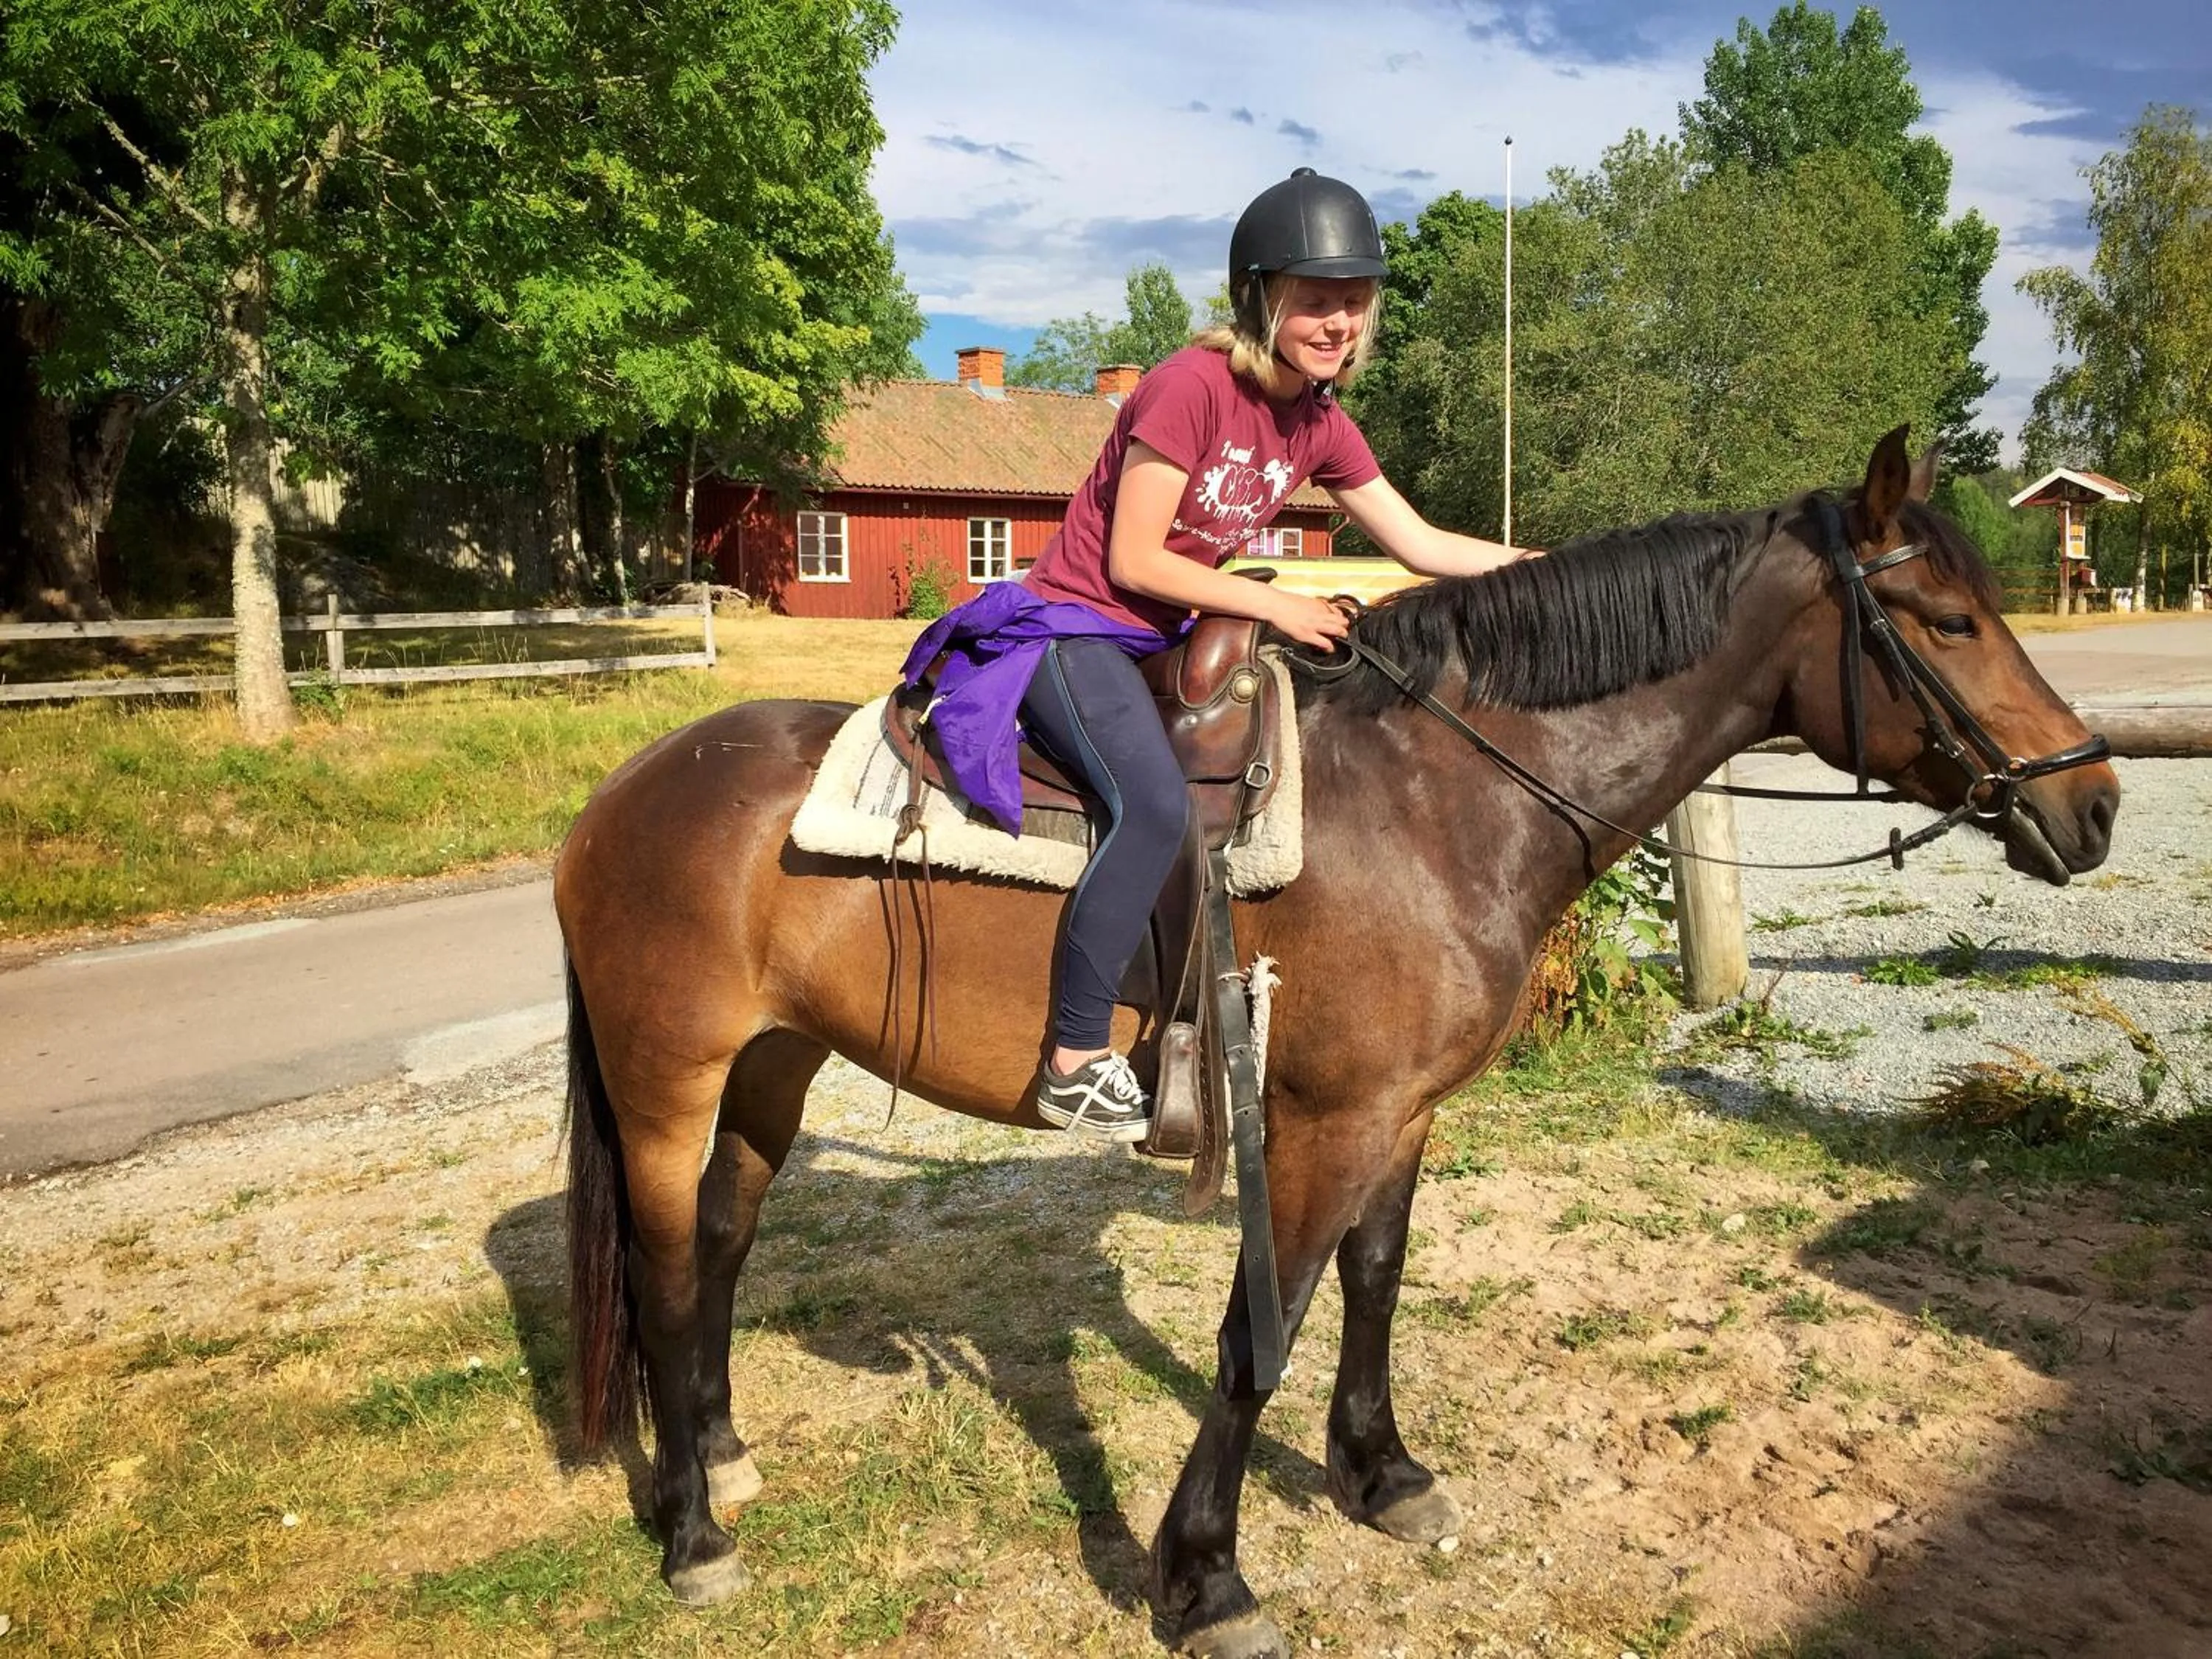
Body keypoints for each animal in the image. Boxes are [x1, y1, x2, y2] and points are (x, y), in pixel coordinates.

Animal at [554, 429, 2118, 1657]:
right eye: (1952, 623)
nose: (2093, 802)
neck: (1441, 800)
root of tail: (613, 798)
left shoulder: (1406, 1113)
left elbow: (1373, 1285)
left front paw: (1383, 1474)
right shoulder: (1321, 1120)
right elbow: (1266, 1326)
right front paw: (1204, 1577)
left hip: (772, 1065)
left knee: (724, 1241)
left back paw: (724, 1459)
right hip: (666, 1082)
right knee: (667, 1266)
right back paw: (691, 1535)